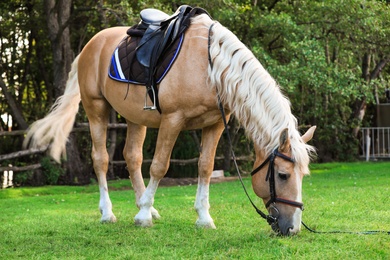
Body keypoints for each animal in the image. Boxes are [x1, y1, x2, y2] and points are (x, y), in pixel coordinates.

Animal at [23, 12, 316, 236]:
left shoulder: (215, 125)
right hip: (96, 109)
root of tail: (90, 45)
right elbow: (160, 166)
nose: (292, 228)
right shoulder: (172, 120)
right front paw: (142, 217)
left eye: (303, 176)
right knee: (101, 159)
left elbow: (205, 167)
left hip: (135, 118)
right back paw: (109, 212)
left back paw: (146, 204)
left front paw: (202, 217)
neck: (210, 66)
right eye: (283, 175)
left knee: (131, 157)